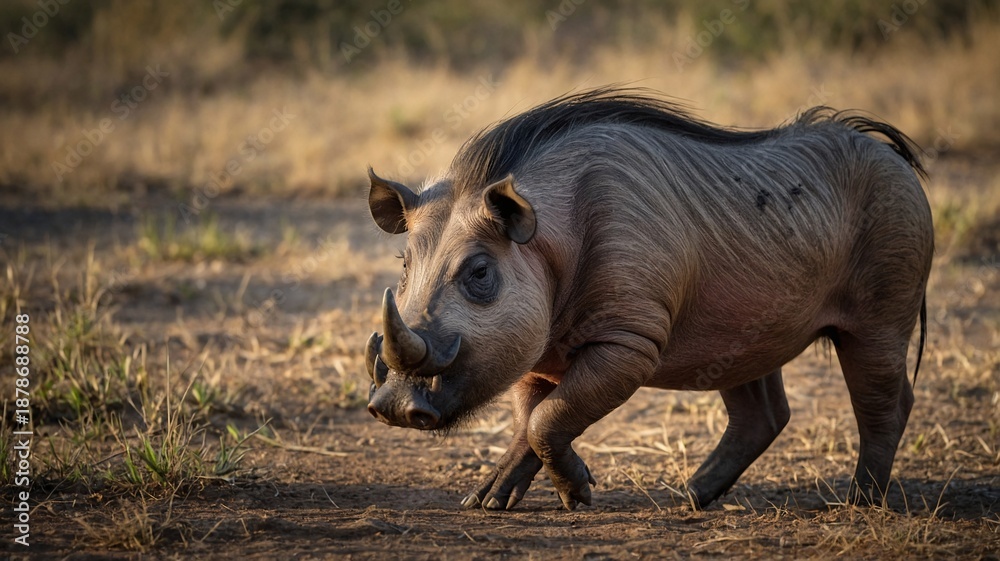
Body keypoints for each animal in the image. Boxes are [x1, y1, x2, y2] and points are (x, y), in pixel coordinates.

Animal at [363, 88, 932, 511]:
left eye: (481, 273)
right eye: (404, 266)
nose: (390, 409)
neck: (541, 237)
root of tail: (898, 160)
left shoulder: (630, 341)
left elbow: (548, 416)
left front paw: (577, 496)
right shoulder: (533, 344)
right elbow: (532, 415)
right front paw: (488, 502)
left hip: (887, 273)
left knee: (879, 376)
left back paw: (859, 504)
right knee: (750, 377)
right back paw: (691, 500)